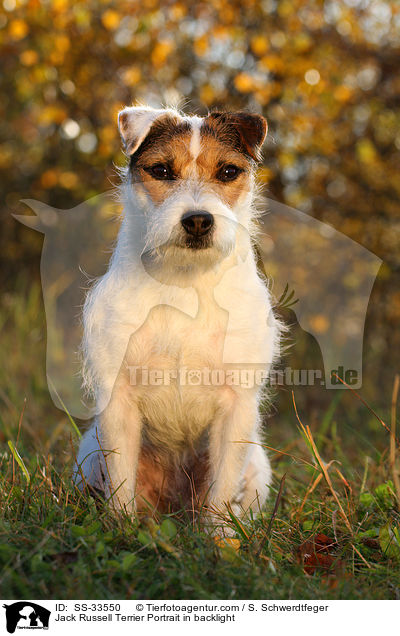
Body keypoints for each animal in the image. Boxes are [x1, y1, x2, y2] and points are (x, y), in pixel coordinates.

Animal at [75, 105, 282, 532]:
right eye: (162, 170)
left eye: (228, 172)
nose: (198, 220)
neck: (185, 282)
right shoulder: (119, 402)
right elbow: (121, 480)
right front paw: (122, 530)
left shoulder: (236, 407)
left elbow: (221, 490)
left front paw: (220, 540)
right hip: (88, 456)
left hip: (256, 464)